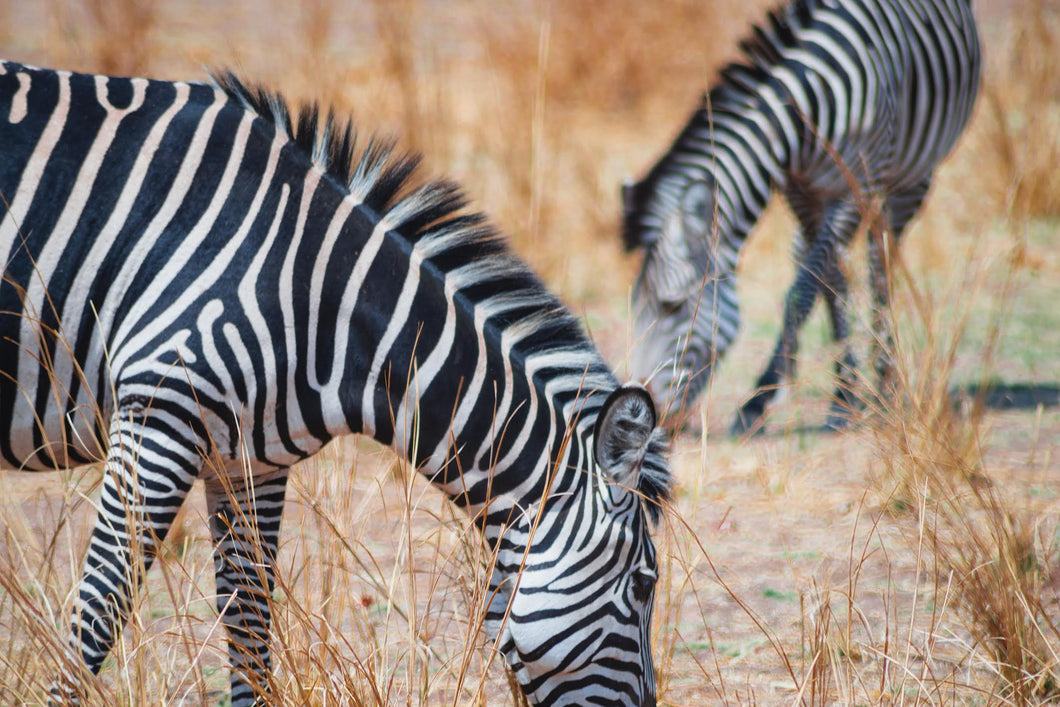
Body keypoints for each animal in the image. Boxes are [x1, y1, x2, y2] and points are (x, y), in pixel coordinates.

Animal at [0, 61, 672, 706]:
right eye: (644, 585)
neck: (322, 300)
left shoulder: (248, 459)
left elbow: (250, 621)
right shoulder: (157, 414)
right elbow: (98, 616)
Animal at [620, 0, 981, 434]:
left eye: (671, 305)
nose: (643, 411)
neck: (807, 110)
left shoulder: (854, 185)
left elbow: (803, 291)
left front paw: (757, 401)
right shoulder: (800, 192)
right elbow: (828, 281)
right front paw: (843, 394)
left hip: (910, 177)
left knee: (880, 265)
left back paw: (886, 386)